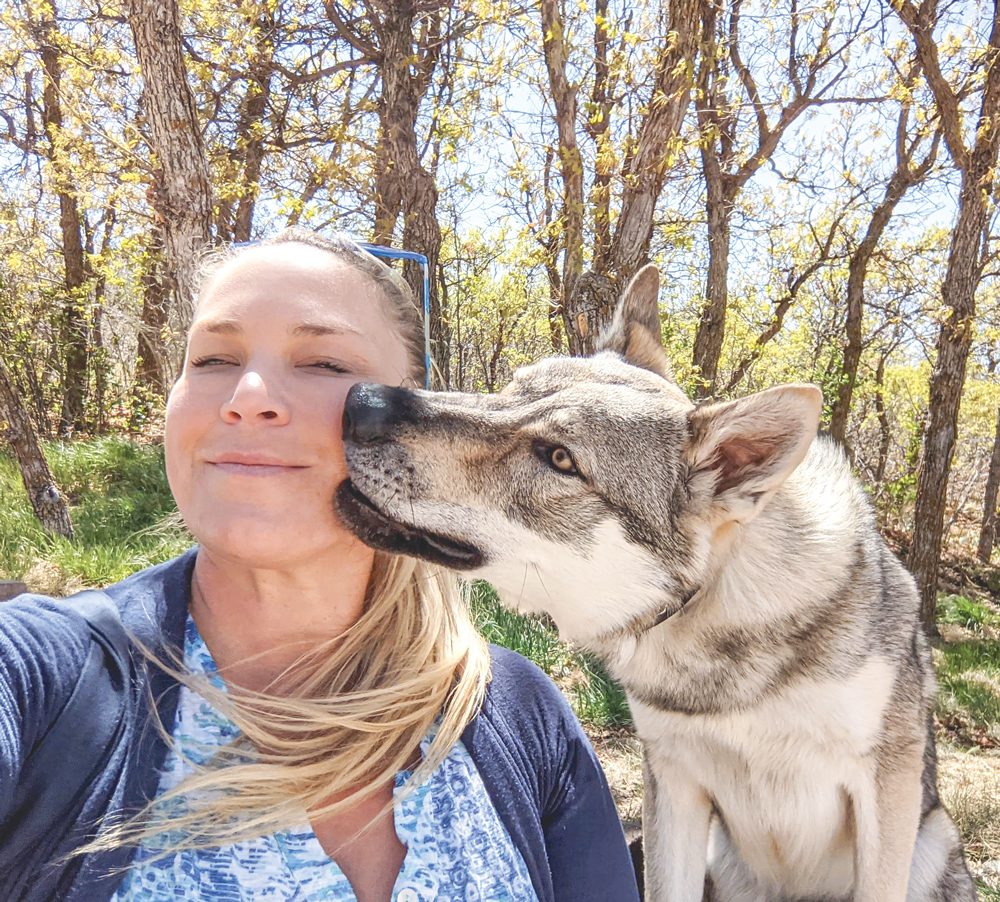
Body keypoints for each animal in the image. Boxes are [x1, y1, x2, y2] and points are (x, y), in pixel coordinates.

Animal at [336, 264, 976, 900]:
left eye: (559, 458)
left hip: (930, 841)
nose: (363, 402)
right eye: (510, 389)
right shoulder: (672, 781)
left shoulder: (886, 780)